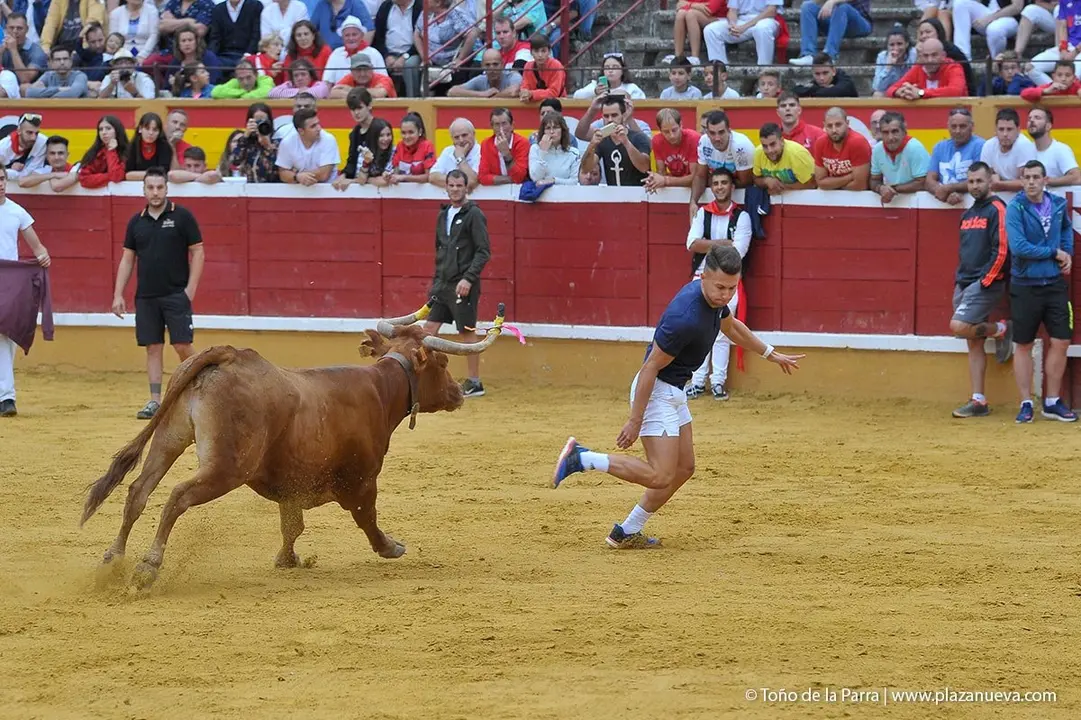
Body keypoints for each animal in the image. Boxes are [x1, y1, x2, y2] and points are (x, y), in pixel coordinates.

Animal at [80, 302, 508, 590]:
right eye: (442, 363)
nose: (457, 394)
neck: (380, 389)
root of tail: (230, 355)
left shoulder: (292, 483)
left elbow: (292, 523)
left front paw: (287, 559)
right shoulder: (362, 480)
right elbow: (366, 518)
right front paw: (391, 547)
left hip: (170, 437)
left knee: (139, 489)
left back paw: (111, 560)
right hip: (225, 468)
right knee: (177, 496)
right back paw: (147, 567)